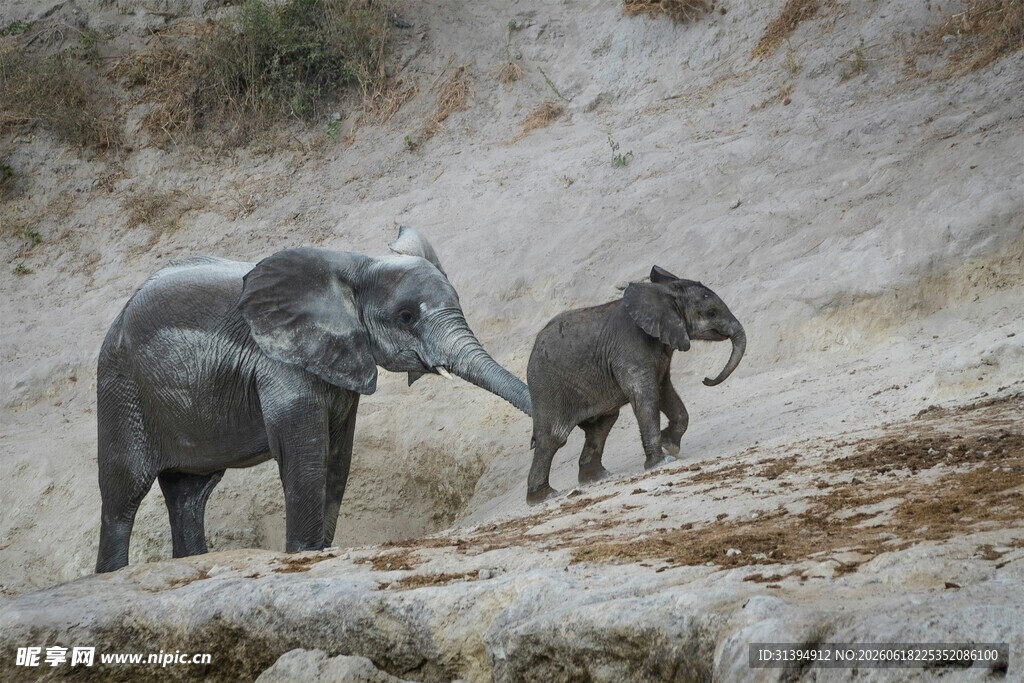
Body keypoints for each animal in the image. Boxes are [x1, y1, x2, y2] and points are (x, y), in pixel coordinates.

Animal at [95, 226, 531, 572]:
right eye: (406, 317)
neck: (358, 266)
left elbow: (337, 456)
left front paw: (318, 550)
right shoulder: (279, 362)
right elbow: (305, 453)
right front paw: (303, 554)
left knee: (190, 494)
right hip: (121, 388)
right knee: (123, 493)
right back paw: (112, 573)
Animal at [525, 265, 745, 504]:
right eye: (711, 313)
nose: (706, 380)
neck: (663, 292)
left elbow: (664, 390)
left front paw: (670, 446)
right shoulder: (630, 348)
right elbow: (646, 396)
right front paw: (662, 462)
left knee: (602, 425)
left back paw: (597, 477)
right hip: (547, 387)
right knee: (553, 437)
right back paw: (544, 496)